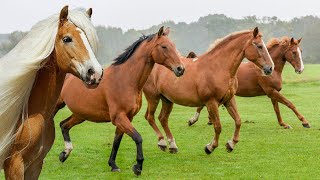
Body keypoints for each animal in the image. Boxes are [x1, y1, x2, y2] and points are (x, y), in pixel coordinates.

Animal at [53, 26, 184, 176]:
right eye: (164, 46)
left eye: (173, 45)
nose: (181, 68)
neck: (125, 79)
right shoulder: (119, 117)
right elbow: (138, 137)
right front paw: (138, 166)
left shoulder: (127, 117)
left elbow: (117, 141)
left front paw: (113, 165)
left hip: (81, 114)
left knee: (64, 125)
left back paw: (64, 154)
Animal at [144, 27, 274, 154]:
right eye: (259, 46)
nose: (270, 68)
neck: (218, 68)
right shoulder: (211, 102)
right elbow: (218, 126)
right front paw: (210, 147)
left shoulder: (229, 100)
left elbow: (238, 121)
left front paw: (231, 144)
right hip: (153, 98)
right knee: (150, 117)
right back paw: (162, 142)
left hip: (167, 100)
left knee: (162, 119)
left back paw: (172, 146)